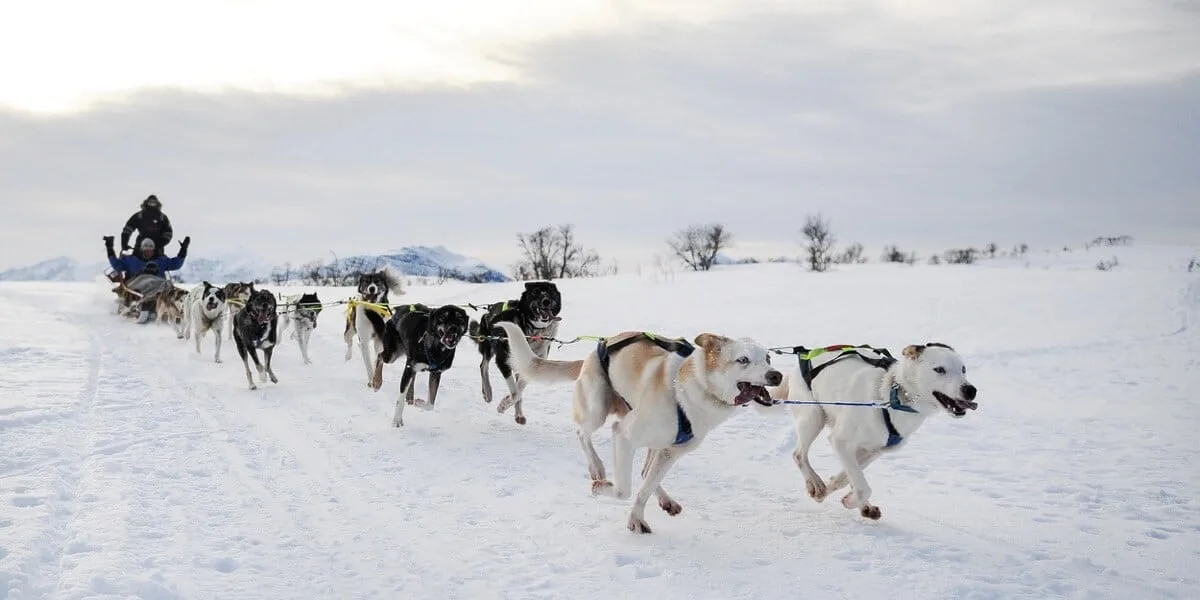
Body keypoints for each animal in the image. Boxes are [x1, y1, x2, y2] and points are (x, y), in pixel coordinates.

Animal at [465, 280, 564, 427]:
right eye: (536, 292)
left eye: (551, 292)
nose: (546, 301)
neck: (531, 332)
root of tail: (489, 310)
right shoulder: (503, 361)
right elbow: (516, 393)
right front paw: (503, 405)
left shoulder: (530, 367)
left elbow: (518, 391)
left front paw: (513, 408)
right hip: (489, 347)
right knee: (483, 366)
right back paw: (487, 392)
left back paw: (518, 414)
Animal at [494, 324, 782, 535]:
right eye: (743, 360)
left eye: (768, 358)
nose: (776, 375)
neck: (690, 389)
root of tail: (594, 350)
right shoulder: (623, 434)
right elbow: (625, 490)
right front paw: (603, 489)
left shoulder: (671, 452)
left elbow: (644, 488)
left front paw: (637, 517)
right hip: (597, 410)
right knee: (582, 433)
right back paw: (596, 467)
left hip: (650, 439)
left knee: (644, 472)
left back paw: (664, 498)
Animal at [763, 343, 979, 520]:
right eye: (939, 370)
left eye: (963, 369)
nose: (970, 390)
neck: (891, 398)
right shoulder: (840, 441)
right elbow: (862, 487)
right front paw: (849, 500)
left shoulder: (873, 451)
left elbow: (847, 479)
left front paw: (837, 489)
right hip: (813, 417)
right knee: (799, 454)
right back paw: (814, 483)